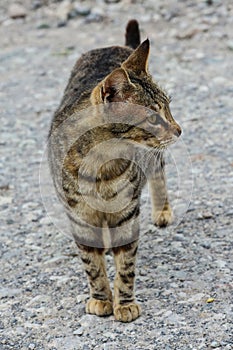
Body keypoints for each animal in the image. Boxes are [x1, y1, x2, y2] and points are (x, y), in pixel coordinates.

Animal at [48, 19, 181, 322]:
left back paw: (162, 211)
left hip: (153, 162)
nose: (179, 129)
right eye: (153, 118)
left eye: (169, 107)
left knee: (159, 173)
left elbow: (126, 267)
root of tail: (115, 46)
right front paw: (100, 299)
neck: (102, 163)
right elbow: (92, 266)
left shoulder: (126, 214)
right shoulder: (80, 217)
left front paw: (125, 303)